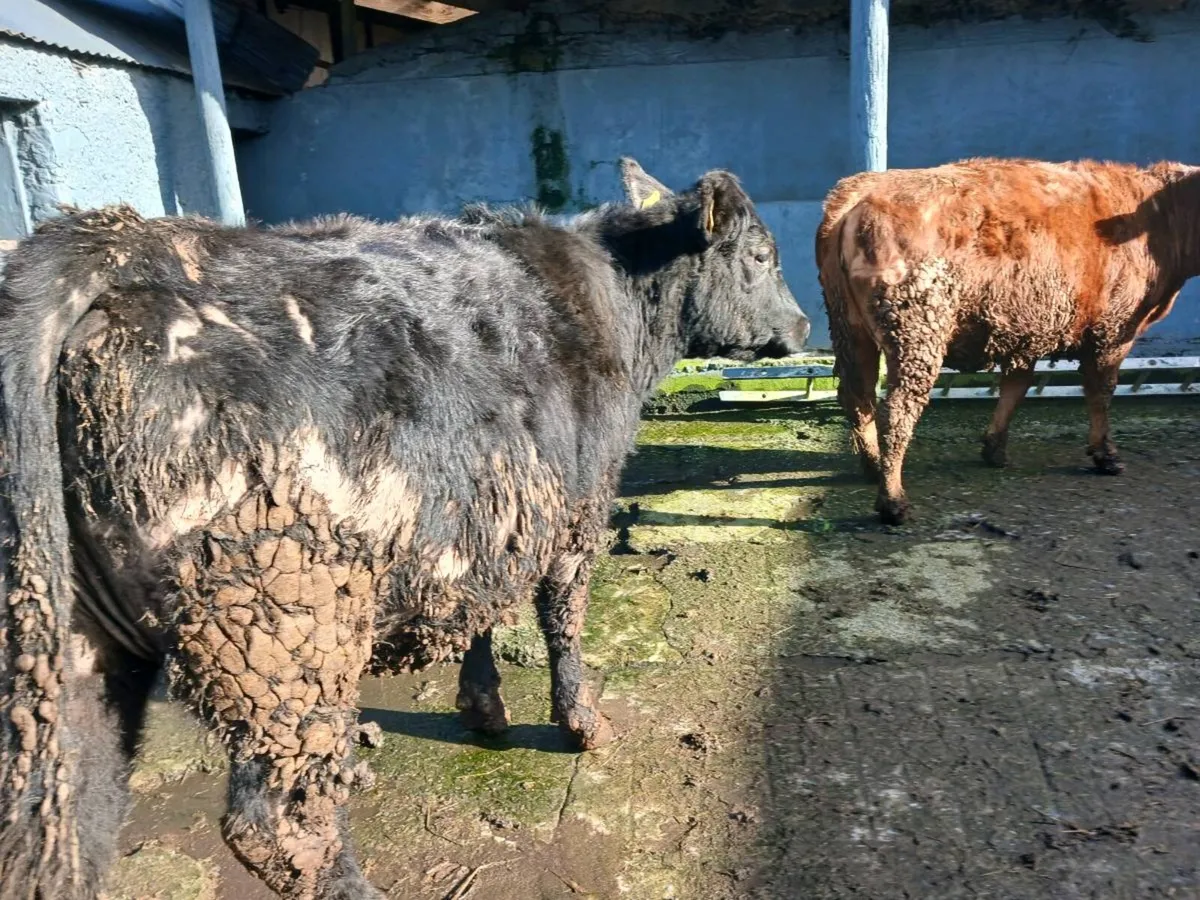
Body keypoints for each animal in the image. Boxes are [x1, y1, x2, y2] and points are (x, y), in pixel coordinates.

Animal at [0, 158, 809, 900]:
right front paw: (581, 724)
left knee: (73, 821)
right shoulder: (580, 505)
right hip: (277, 622)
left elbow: (481, 611)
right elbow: (564, 618)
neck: (617, 301)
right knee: (283, 822)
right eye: (760, 255)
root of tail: (126, 241)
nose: (803, 324)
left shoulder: (489, 512)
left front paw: (483, 709)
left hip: (75, 654)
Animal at [816, 157, 1200, 524]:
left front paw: (994, 449)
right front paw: (1106, 454)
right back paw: (893, 501)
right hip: (917, 331)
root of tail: (864, 189)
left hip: (850, 329)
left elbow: (1016, 386)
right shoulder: (1114, 330)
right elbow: (1100, 393)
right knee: (896, 411)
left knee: (857, 397)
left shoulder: (1026, 332)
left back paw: (872, 467)